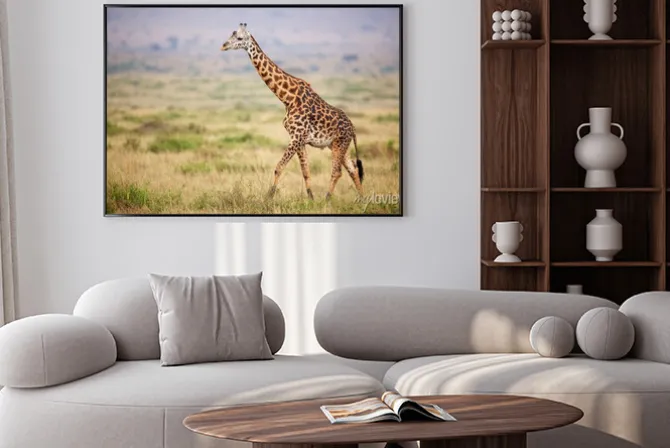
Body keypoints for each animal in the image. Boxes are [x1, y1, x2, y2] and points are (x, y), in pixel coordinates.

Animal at [220, 23, 364, 200]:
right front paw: (310, 199)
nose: (223, 46)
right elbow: (306, 171)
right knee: (353, 170)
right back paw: (363, 200)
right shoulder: (300, 140)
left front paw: (268, 197)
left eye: (240, 38)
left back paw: (327, 199)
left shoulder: (296, 137)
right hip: (338, 145)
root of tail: (353, 128)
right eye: (231, 34)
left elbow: (279, 167)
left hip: (339, 144)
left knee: (337, 172)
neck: (287, 98)